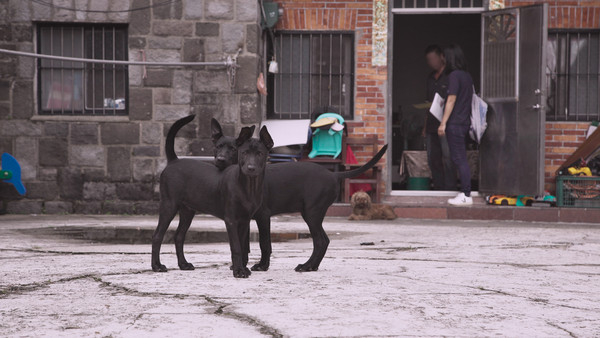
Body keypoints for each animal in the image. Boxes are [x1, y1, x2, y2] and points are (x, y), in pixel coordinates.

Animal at [152, 115, 274, 278]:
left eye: (260, 153)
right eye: (244, 153)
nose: (250, 168)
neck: (247, 186)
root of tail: (174, 161)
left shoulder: (244, 221)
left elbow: (242, 246)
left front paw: (242, 268)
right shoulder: (231, 220)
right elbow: (236, 247)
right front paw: (238, 271)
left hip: (187, 211)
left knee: (179, 236)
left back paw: (183, 264)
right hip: (169, 205)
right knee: (157, 236)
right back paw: (157, 266)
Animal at [166, 116, 386, 272]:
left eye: (232, 149)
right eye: (217, 147)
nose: (219, 160)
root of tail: (333, 174)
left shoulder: (263, 216)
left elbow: (264, 243)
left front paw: (261, 266)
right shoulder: (245, 216)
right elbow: (244, 243)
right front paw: (241, 264)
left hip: (312, 213)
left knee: (321, 240)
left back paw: (306, 266)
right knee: (322, 241)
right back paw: (312, 266)